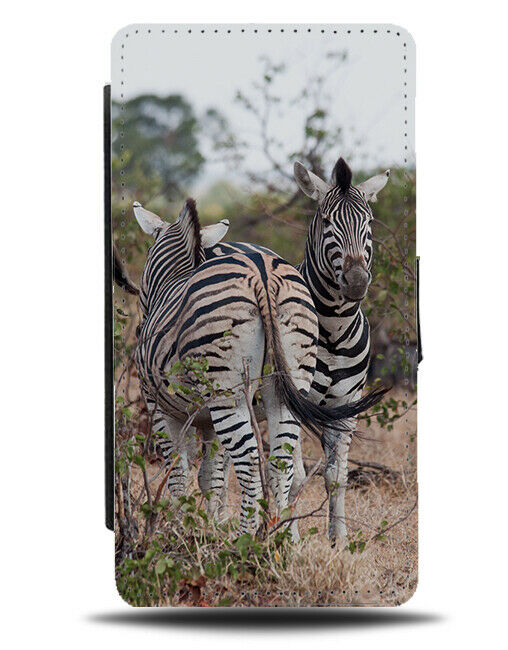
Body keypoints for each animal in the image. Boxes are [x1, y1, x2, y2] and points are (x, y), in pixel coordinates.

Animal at [131, 195, 384, 536]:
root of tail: (263, 273)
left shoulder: (159, 406)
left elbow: (179, 474)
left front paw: (178, 529)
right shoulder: (205, 419)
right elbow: (211, 476)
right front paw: (209, 527)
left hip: (229, 395)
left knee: (250, 462)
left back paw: (244, 538)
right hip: (286, 386)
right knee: (281, 460)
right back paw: (279, 539)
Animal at [202, 157, 388, 540]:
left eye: (369, 223)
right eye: (327, 221)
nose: (357, 281)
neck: (333, 331)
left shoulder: (348, 405)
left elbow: (336, 477)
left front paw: (339, 541)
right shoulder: (296, 400)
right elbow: (295, 476)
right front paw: (291, 537)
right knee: (221, 460)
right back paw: (217, 522)